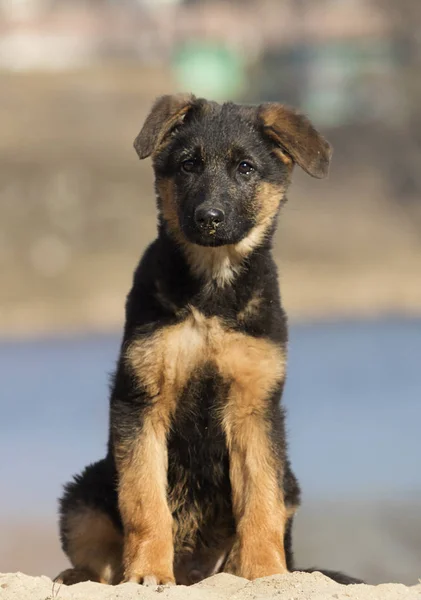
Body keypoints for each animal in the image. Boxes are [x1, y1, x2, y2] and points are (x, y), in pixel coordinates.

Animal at [55, 94, 360, 584]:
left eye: (246, 168)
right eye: (188, 165)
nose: (209, 218)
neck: (212, 292)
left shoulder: (255, 407)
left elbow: (260, 502)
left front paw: (266, 571)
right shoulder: (140, 401)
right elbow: (145, 500)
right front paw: (148, 571)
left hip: (291, 482)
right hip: (83, 493)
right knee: (96, 548)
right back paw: (83, 576)